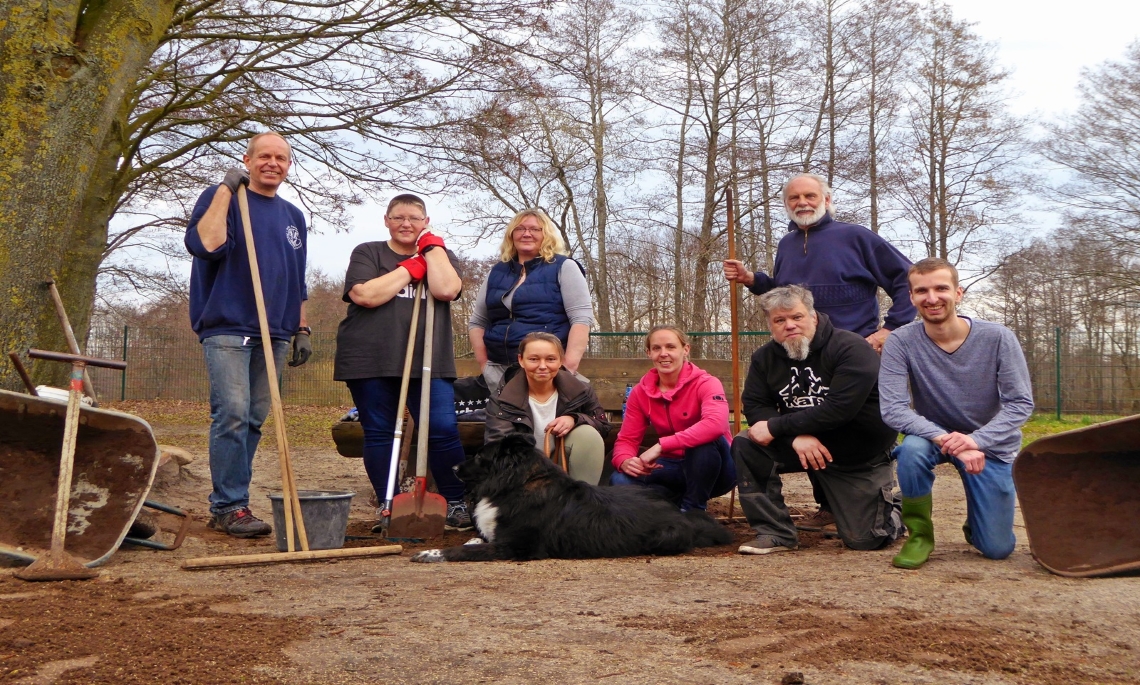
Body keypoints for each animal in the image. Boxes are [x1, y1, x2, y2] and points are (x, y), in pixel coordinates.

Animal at [410, 433, 729, 560]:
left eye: (479, 456)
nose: (452, 468)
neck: (517, 483)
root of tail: (679, 513)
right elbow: (474, 541)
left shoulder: (515, 547)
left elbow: (462, 550)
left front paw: (431, 553)